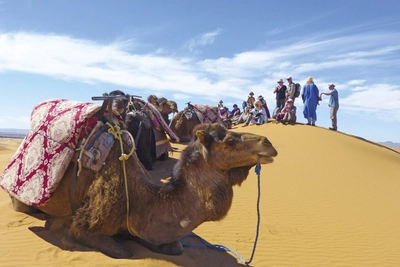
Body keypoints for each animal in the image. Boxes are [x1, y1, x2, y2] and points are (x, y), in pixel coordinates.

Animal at [8, 123, 276, 260]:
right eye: (230, 141)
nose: (268, 143)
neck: (139, 197)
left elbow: (174, 246)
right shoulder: (83, 224)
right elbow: (121, 251)